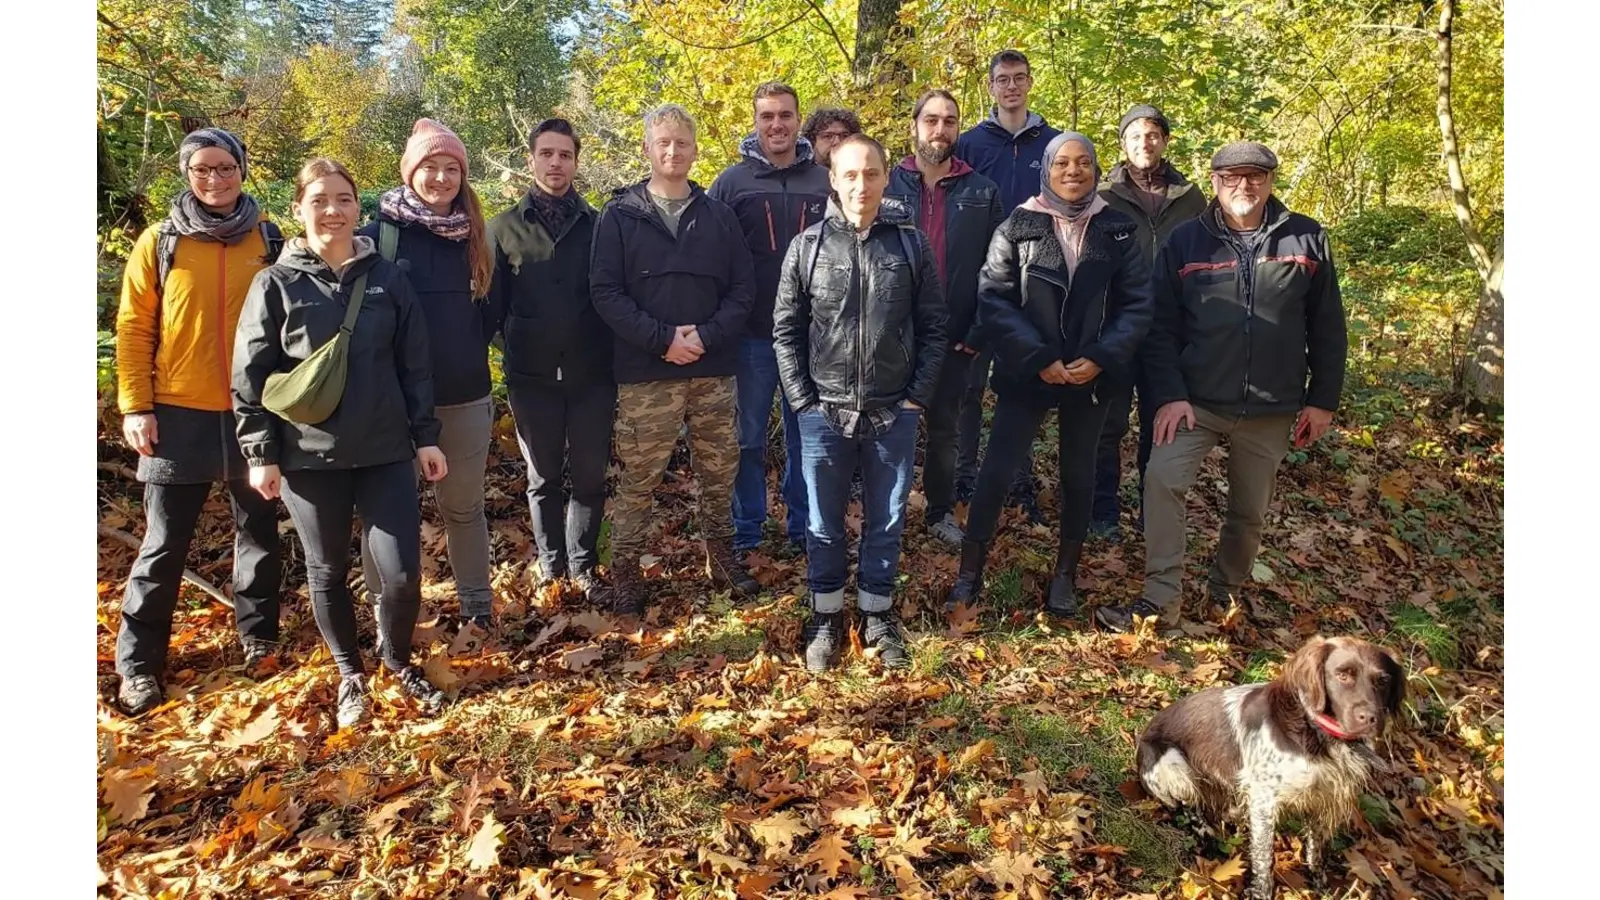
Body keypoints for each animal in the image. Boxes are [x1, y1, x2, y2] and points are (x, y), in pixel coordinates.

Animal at [1139, 630, 1401, 896]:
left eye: (1383, 680)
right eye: (1343, 674)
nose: (1370, 718)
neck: (1317, 732)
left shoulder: (1322, 798)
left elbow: (1315, 849)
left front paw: (1319, 885)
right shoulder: (1264, 798)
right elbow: (1265, 857)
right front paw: (1262, 892)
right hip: (1173, 765)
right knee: (1187, 807)